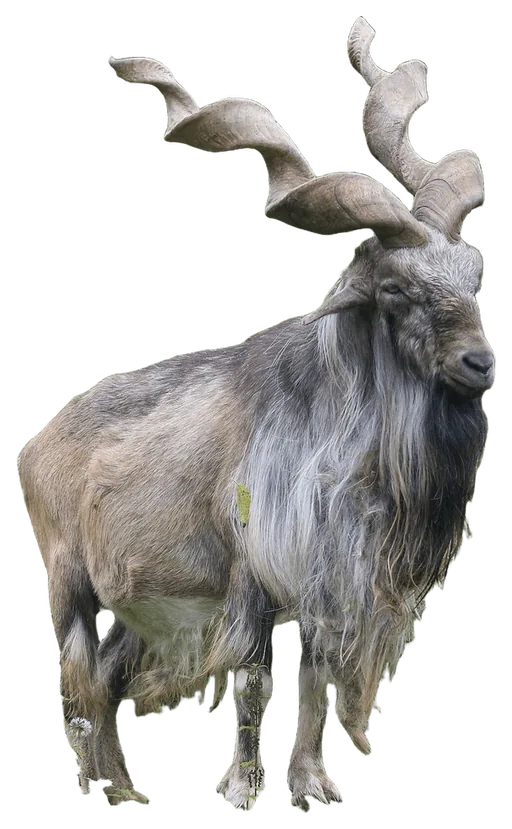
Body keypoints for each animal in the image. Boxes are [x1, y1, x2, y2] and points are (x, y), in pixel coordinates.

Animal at [18, 17, 492, 811]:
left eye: (472, 276)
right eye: (396, 289)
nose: (480, 361)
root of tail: (39, 443)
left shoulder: (327, 588)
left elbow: (315, 680)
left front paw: (313, 785)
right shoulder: (251, 577)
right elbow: (254, 681)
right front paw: (242, 791)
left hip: (136, 607)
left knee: (105, 679)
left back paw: (124, 787)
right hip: (72, 580)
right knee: (79, 687)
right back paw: (110, 789)